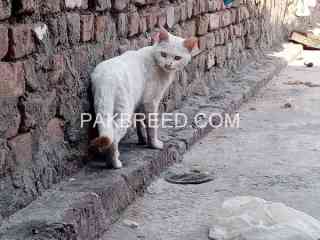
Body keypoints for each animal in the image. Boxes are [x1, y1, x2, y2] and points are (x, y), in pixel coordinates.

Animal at [89, 28, 196, 169]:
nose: (168, 64)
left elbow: (140, 123)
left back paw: (108, 161)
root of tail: (106, 78)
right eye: (163, 54)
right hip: (124, 109)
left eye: (177, 58)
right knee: (114, 138)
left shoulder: (139, 103)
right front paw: (154, 144)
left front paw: (142, 140)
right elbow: (151, 126)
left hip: (103, 107)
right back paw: (114, 163)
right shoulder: (150, 102)